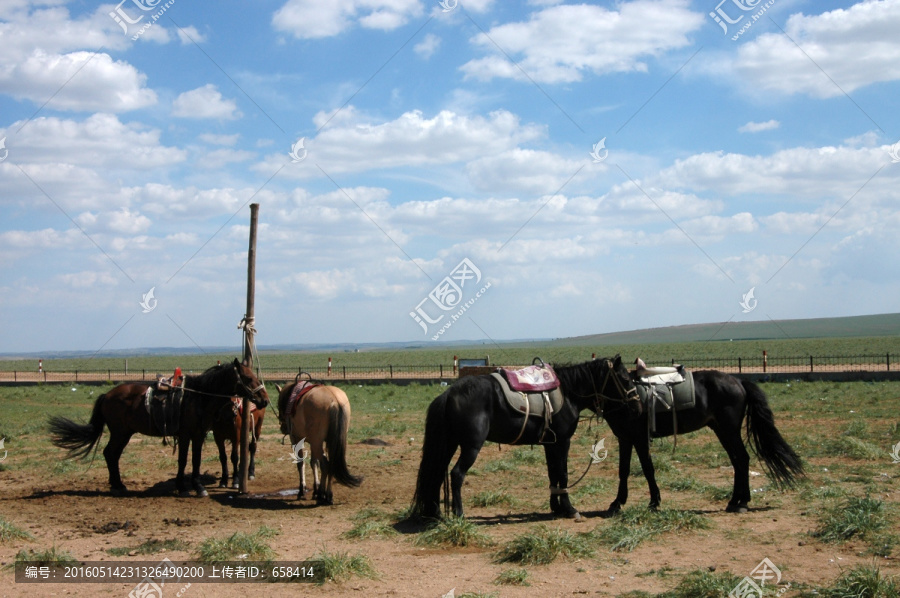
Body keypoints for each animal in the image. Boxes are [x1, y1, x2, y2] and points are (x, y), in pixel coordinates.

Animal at [49, 360, 268, 496]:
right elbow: (183, 460)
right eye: (248, 378)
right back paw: (117, 485)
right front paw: (185, 487)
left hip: (124, 433)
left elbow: (195, 460)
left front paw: (195, 486)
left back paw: (118, 485)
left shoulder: (199, 435)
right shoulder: (186, 434)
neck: (197, 397)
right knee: (110, 453)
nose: (264, 399)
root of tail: (107, 395)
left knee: (112, 454)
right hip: (120, 432)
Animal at [414, 356, 640, 520]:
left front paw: (556, 507)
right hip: (470, 447)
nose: (637, 404)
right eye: (625, 379)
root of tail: (449, 393)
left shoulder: (550, 444)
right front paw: (569, 509)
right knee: (457, 474)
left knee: (437, 473)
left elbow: (553, 473)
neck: (568, 392)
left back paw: (435, 512)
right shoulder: (563, 441)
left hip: (449, 444)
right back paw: (459, 514)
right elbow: (564, 474)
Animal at [604, 370, 800, 516]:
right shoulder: (625, 438)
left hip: (729, 430)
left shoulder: (639, 439)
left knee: (742, 459)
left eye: (626, 380)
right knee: (737, 461)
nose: (636, 406)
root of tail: (738, 381)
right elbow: (624, 470)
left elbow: (647, 469)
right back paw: (734, 501)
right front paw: (617, 502)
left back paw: (742, 502)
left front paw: (652, 502)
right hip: (722, 431)